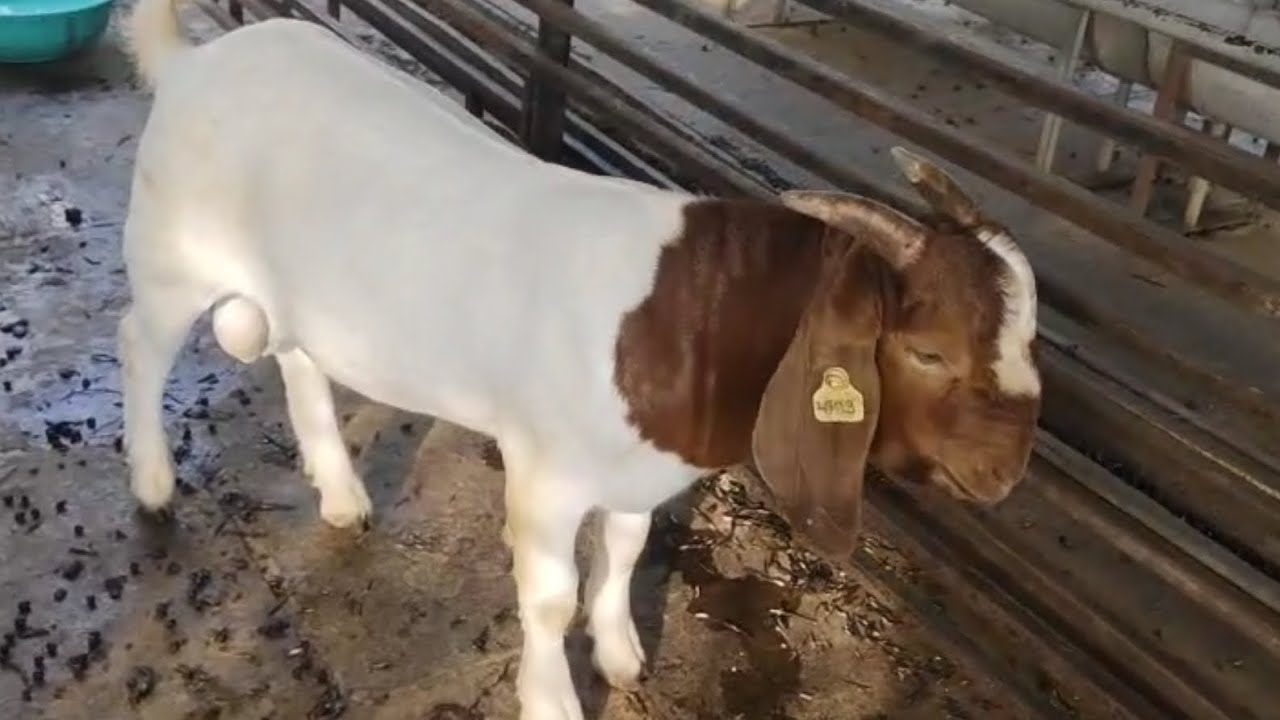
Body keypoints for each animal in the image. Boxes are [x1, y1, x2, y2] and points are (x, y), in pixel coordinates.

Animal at [120, 3, 1041, 719]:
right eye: (928, 349)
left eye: (1029, 332)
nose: (1006, 472)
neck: (688, 312)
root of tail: (194, 60)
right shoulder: (546, 474)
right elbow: (549, 593)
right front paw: (552, 698)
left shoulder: (640, 468)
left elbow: (626, 551)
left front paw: (622, 652)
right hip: (172, 258)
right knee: (139, 348)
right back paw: (154, 485)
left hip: (303, 294)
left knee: (299, 359)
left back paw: (341, 493)